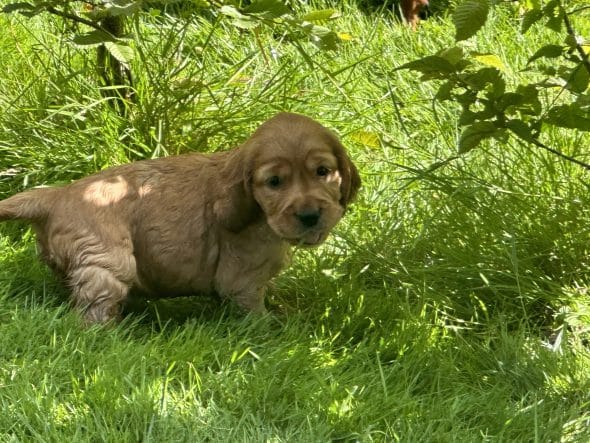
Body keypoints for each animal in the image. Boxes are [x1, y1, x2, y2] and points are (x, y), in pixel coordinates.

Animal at [0, 112, 360, 324]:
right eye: (274, 182)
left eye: (323, 172)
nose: (310, 215)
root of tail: (56, 195)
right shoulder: (241, 278)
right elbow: (254, 310)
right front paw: (275, 327)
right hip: (106, 259)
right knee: (92, 311)